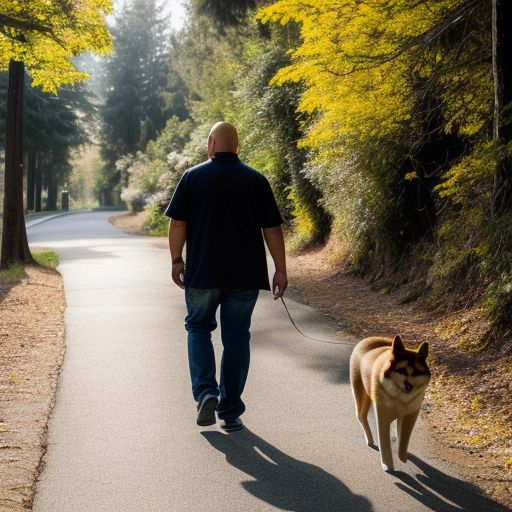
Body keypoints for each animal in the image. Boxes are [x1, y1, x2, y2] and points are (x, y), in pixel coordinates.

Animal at [350, 336, 430, 472]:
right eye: (401, 371)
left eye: (415, 373)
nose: (408, 386)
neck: (401, 398)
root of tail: (370, 339)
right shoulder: (382, 414)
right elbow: (384, 441)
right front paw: (387, 464)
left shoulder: (411, 414)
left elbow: (404, 438)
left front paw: (402, 456)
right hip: (362, 395)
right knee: (361, 416)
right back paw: (370, 439)